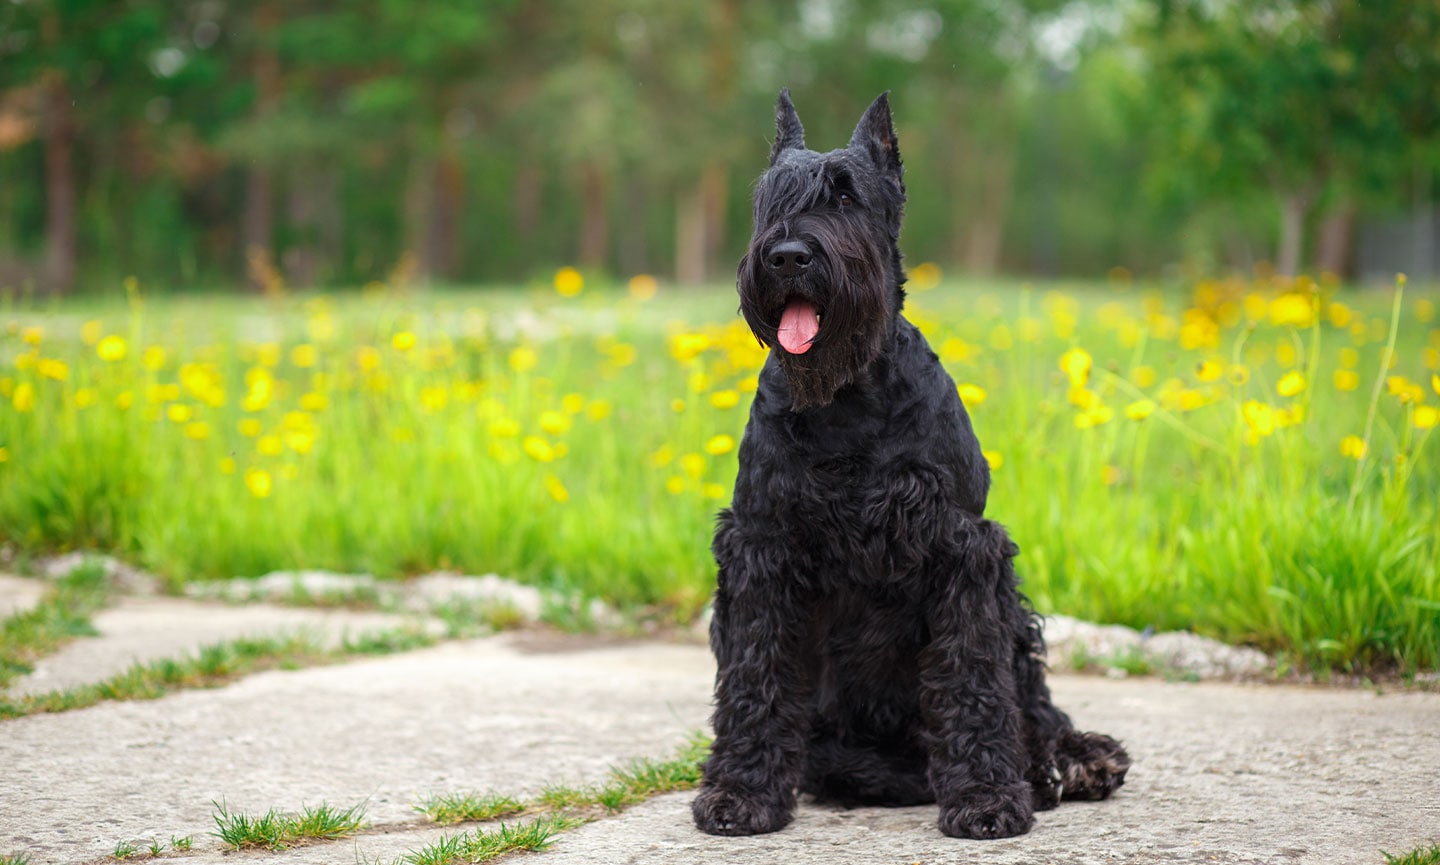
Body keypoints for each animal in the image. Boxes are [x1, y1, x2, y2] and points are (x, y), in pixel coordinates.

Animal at [691, 92, 1128, 834]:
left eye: (846, 196)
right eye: (771, 198)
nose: (786, 256)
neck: (846, 399)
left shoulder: (963, 550)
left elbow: (974, 677)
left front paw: (986, 795)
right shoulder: (761, 548)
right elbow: (756, 672)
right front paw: (742, 791)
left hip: (1012, 610)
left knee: (1031, 700)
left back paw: (1066, 760)